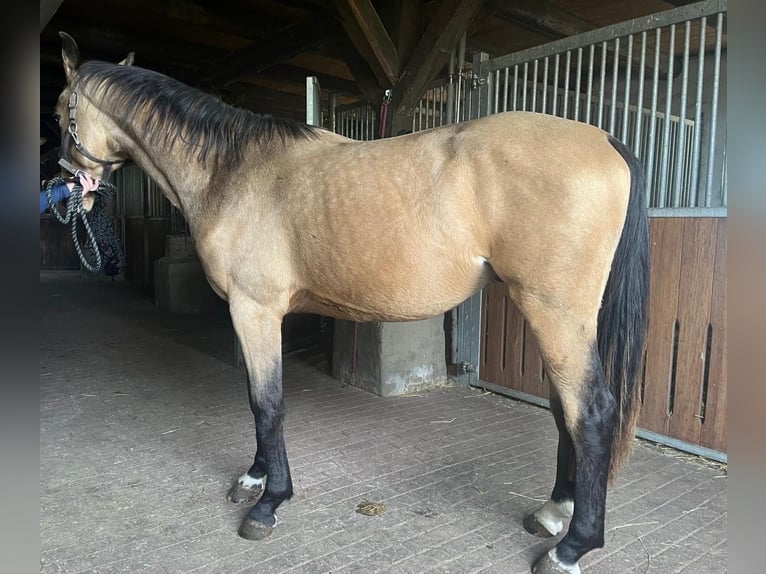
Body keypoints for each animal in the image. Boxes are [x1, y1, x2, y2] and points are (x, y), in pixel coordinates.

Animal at [53, 32, 649, 574]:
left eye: (62, 112)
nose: (69, 183)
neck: (234, 171)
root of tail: (605, 140)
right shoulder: (250, 315)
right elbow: (254, 397)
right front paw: (253, 477)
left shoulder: (254, 309)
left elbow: (267, 403)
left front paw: (269, 502)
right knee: (564, 410)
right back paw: (553, 513)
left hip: (555, 313)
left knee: (592, 412)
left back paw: (571, 547)